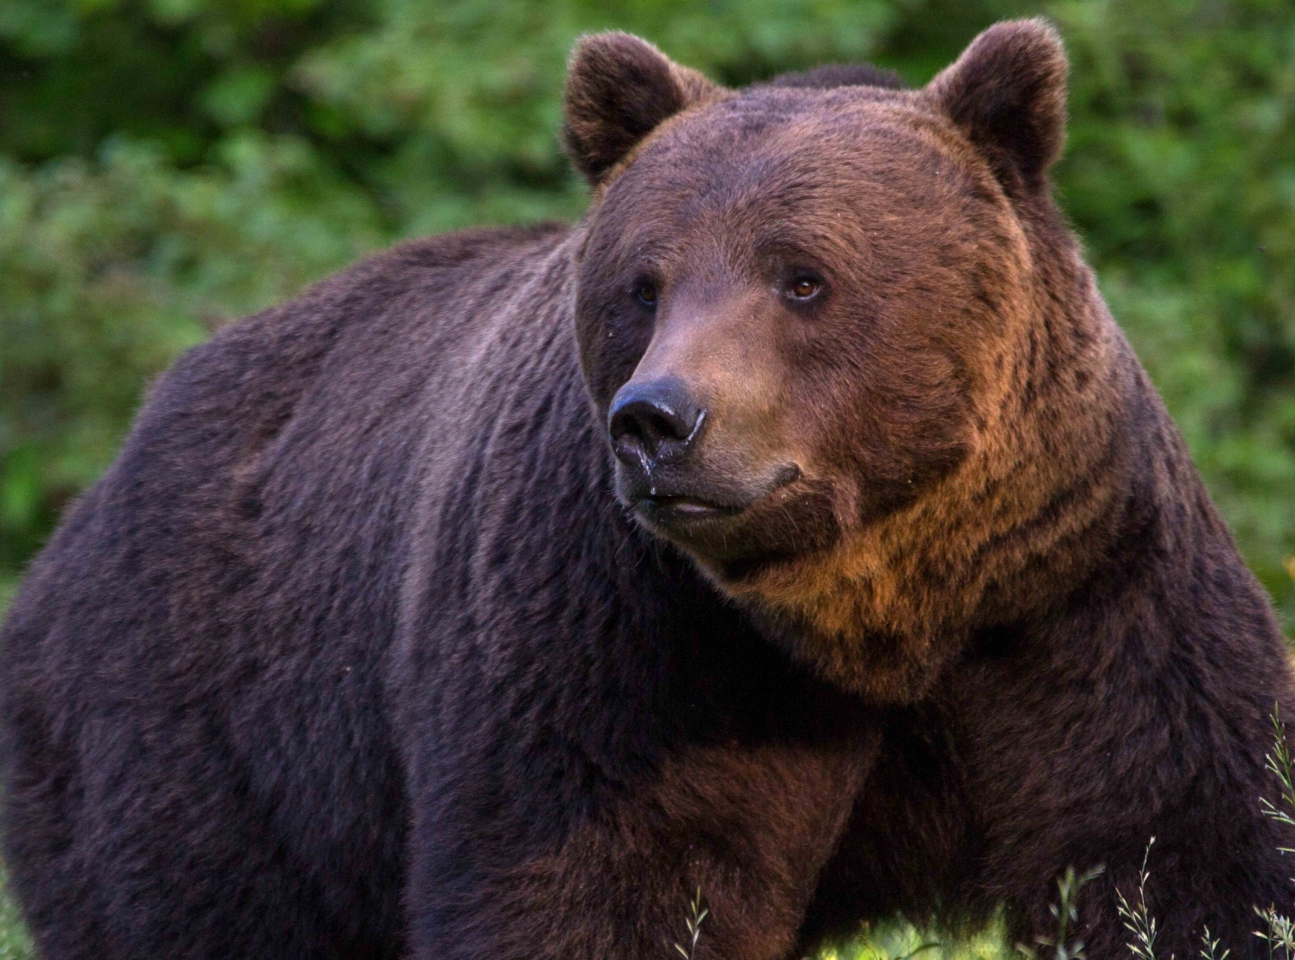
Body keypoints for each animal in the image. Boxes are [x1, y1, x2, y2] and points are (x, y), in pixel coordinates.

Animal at [2, 18, 1295, 958]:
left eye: (800, 276)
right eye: (642, 282)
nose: (657, 421)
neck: (881, 611)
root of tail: (96, 491)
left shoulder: (1076, 591)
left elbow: (1183, 852)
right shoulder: (624, 639)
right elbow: (610, 882)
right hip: (199, 733)